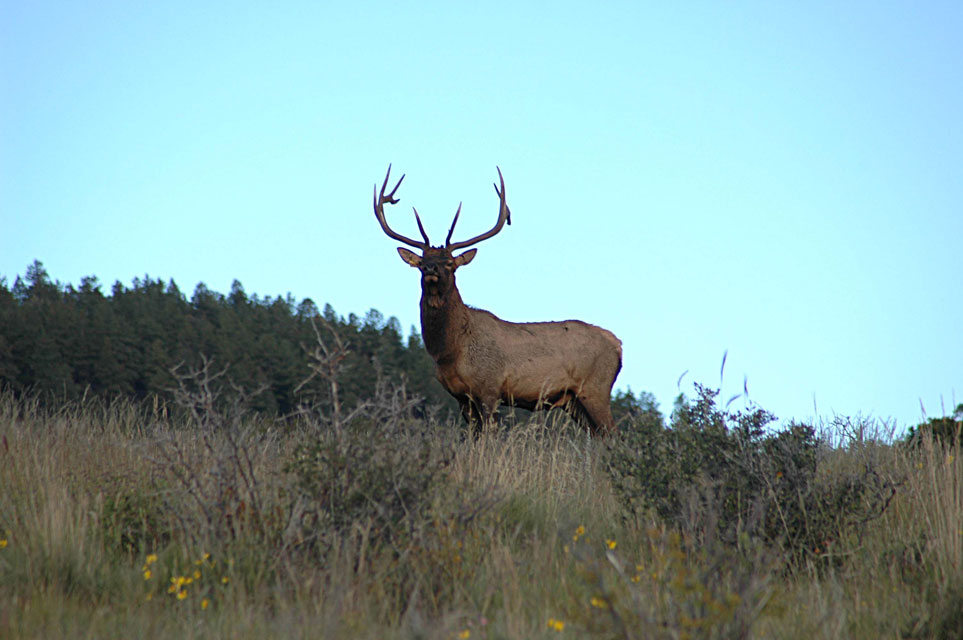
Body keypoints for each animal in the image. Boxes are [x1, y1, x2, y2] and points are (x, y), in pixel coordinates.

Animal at [372, 165, 620, 436]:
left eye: (449, 263)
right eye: (422, 261)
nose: (430, 269)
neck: (452, 350)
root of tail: (619, 346)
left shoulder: (489, 388)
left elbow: (489, 439)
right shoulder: (462, 397)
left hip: (595, 389)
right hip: (574, 401)